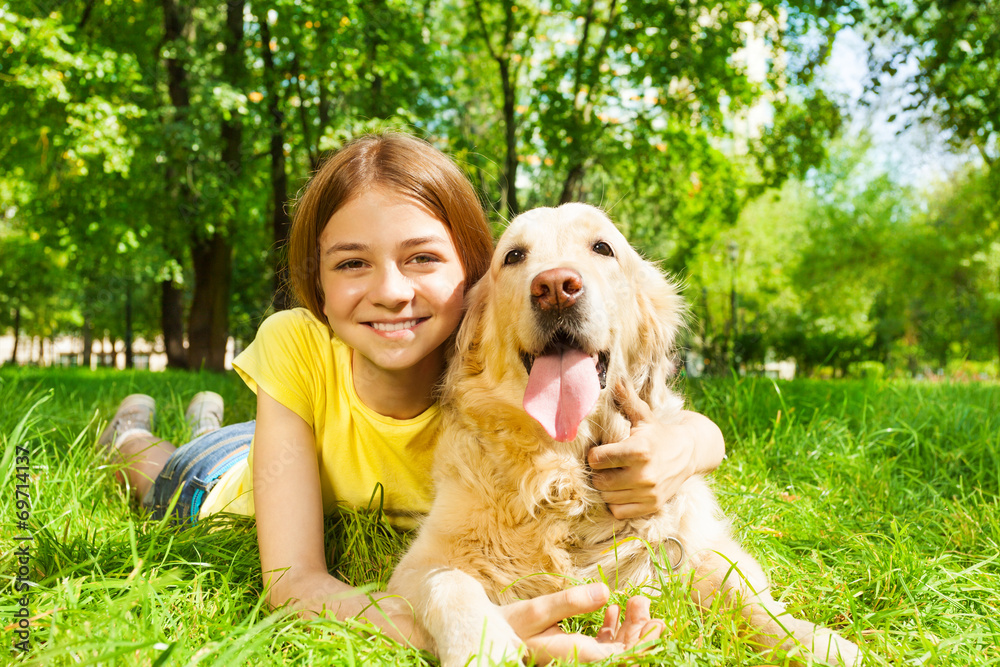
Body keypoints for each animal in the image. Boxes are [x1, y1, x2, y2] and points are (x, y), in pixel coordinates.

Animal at [388, 205, 860, 667]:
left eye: (602, 248)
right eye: (514, 256)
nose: (555, 288)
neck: (568, 478)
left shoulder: (696, 542)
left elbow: (748, 597)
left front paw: (817, 642)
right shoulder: (415, 568)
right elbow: (448, 581)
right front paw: (481, 645)